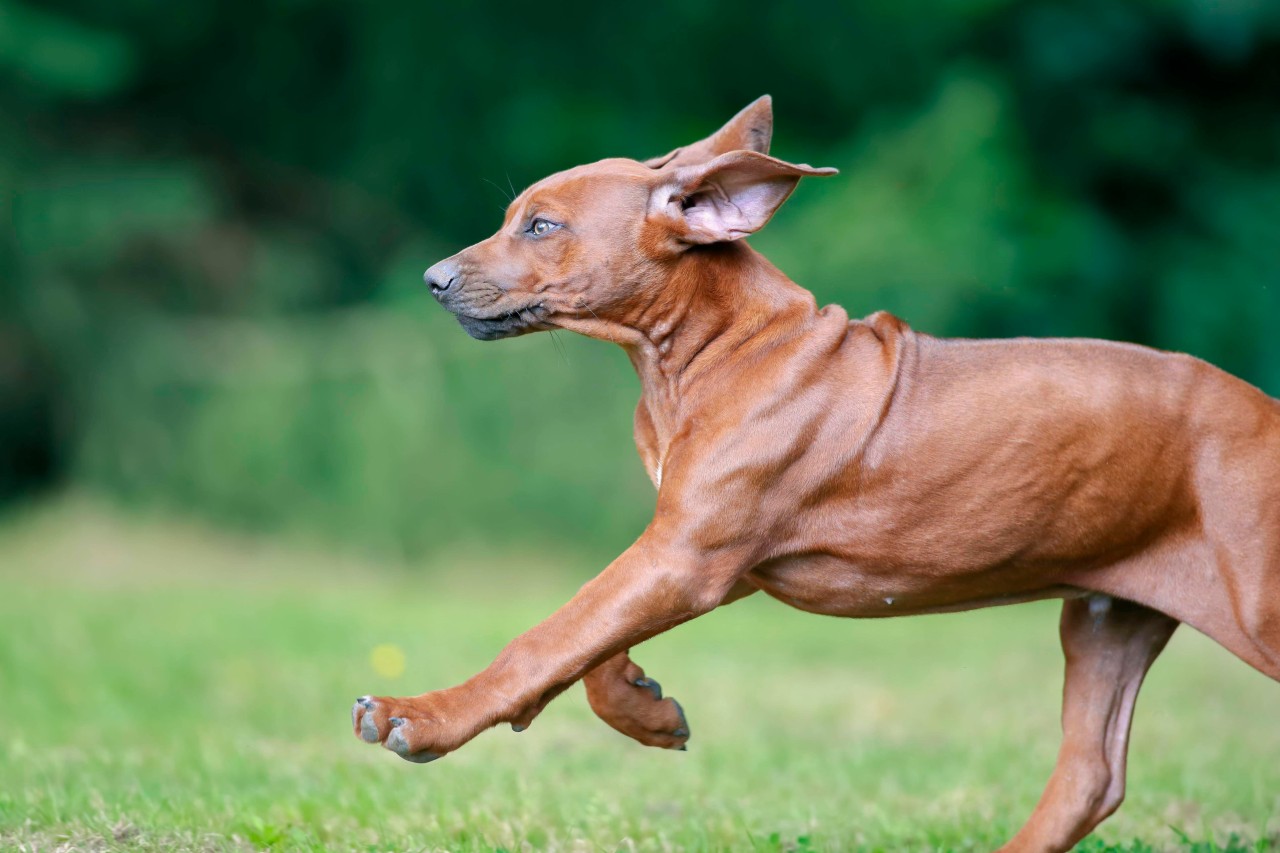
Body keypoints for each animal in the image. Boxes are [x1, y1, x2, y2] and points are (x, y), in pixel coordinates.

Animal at [353, 96, 1280, 845]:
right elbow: (591, 641)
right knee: (1091, 775)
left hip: (1251, 606)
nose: (433, 279)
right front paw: (646, 708)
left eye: (541, 226)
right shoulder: (700, 551)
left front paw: (420, 717)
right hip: (1107, 614)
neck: (703, 352)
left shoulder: (688, 554)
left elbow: (549, 634)